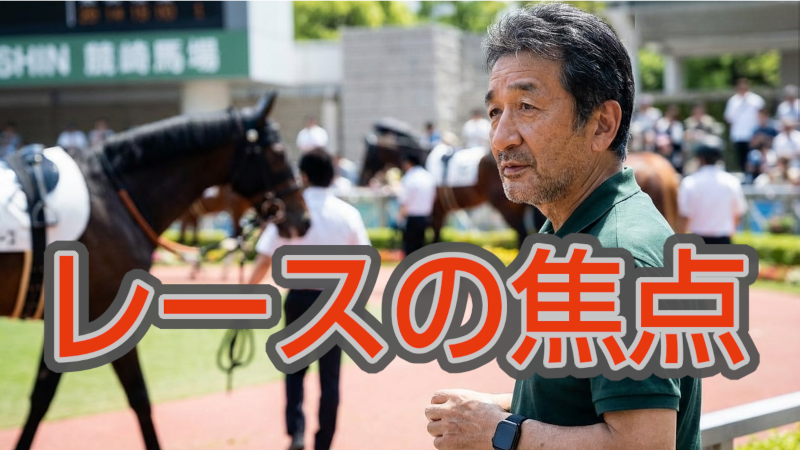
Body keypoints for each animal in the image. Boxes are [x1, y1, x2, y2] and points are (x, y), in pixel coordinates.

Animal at [0, 92, 310, 450]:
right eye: (278, 153)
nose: (303, 219)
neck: (112, 196)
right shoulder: (106, 313)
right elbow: (139, 396)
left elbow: (41, 397)